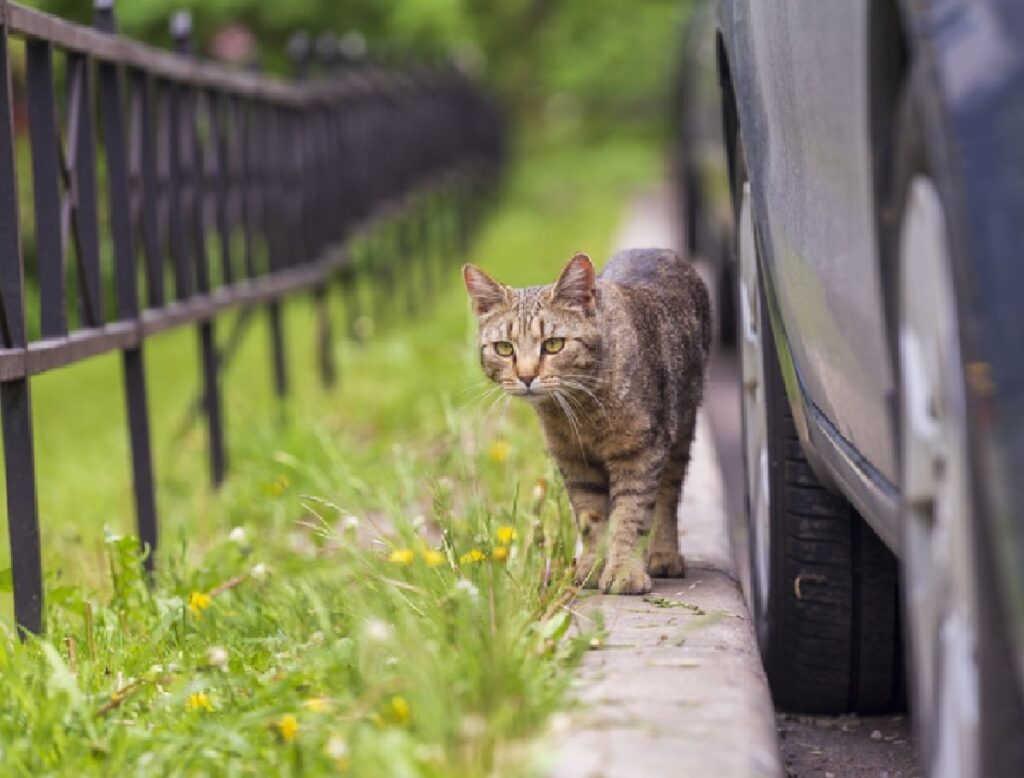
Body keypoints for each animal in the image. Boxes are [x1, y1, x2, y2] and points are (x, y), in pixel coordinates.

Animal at [464, 248, 712, 593]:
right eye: (504, 348)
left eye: (553, 344)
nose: (526, 376)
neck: (582, 410)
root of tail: (656, 250)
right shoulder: (574, 460)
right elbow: (591, 517)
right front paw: (594, 565)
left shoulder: (640, 453)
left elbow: (630, 515)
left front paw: (623, 570)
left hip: (681, 429)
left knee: (667, 496)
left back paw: (663, 554)